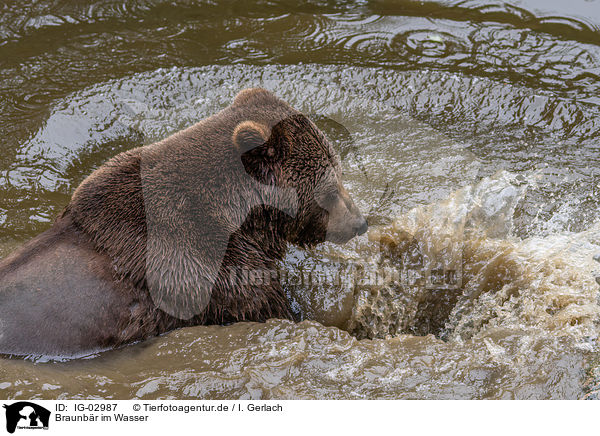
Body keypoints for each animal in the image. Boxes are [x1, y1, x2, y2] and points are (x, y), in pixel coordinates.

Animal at [0, 88, 366, 358]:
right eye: (331, 189)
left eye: (339, 173)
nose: (359, 223)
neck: (240, 217)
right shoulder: (207, 271)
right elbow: (269, 305)